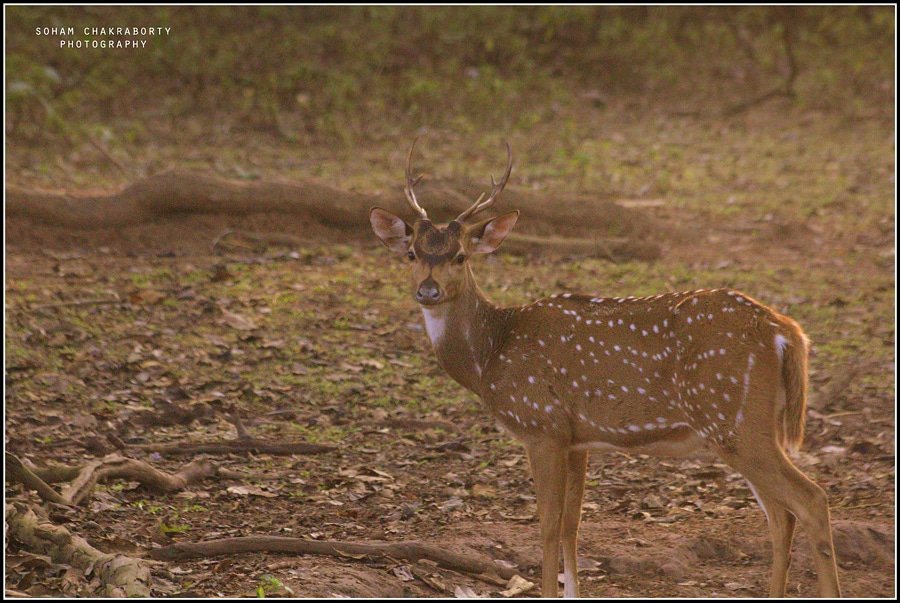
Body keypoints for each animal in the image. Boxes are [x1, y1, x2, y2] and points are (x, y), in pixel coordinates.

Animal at [368, 140, 841, 598]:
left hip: (734, 417)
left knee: (811, 499)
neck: (491, 354)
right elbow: (572, 526)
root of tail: (786, 331)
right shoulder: (577, 439)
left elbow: (547, 525)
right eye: (411, 253)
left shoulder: (541, 425)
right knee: (781, 515)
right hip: (755, 424)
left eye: (461, 256)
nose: (428, 290)